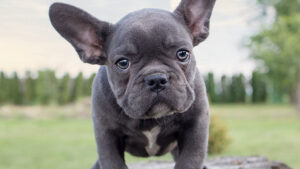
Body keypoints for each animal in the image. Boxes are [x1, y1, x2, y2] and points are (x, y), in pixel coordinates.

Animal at [49, 0, 216, 168]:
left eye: (182, 54)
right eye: (123, 63)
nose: (156, 79)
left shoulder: (195, 125)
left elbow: (189, 160)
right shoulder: (107, 134)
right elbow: (112, 163)